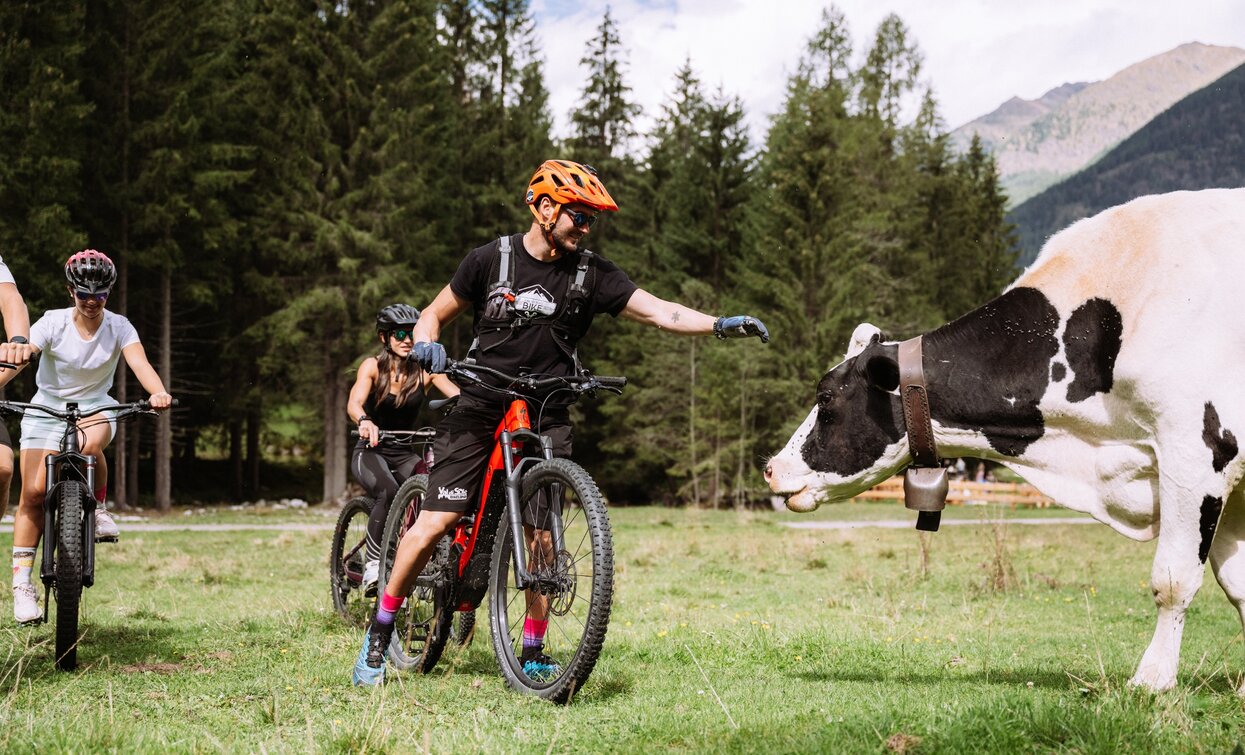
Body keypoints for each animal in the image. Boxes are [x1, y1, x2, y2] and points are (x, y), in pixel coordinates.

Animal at [766, 188, 1245, 692]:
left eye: (825, 397)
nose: (772, 467)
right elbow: (1238, 584)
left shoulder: (1197, 452)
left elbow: (1174, 578)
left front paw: (1151, 680)